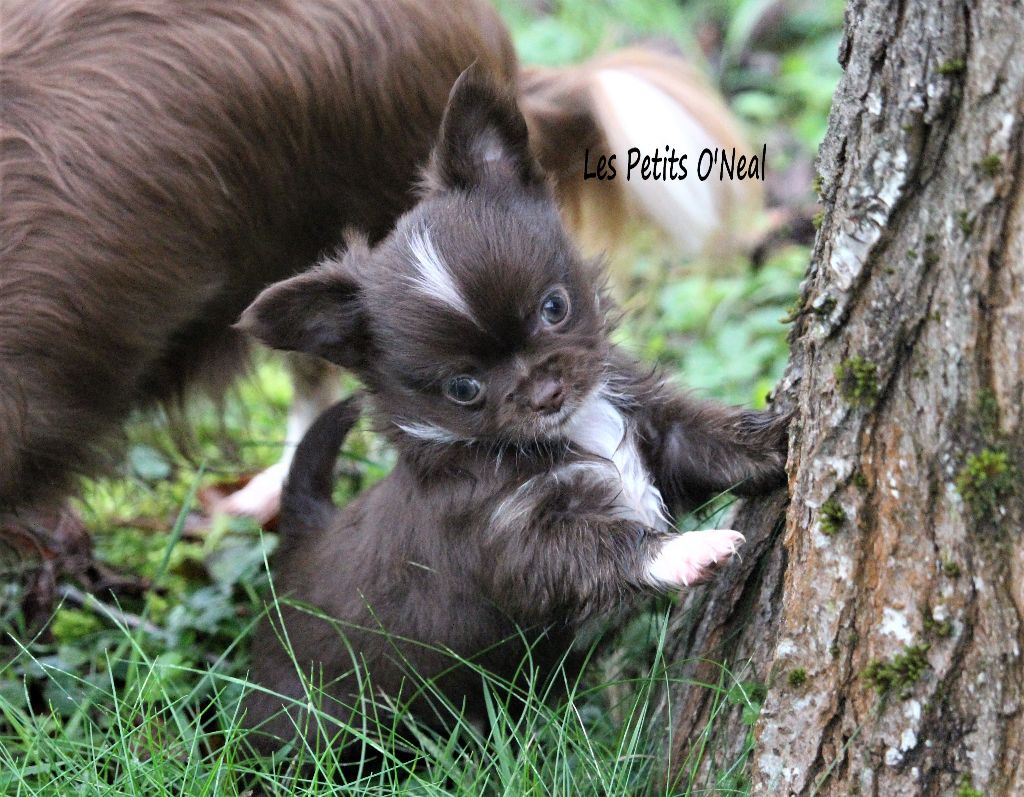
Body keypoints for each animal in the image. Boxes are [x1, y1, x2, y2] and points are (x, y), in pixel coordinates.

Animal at [237, 68, 787, 760]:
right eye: (463, 388)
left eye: (554, 308)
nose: (544, 389)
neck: (576, 431)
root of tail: (300, 542)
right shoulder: (517, 537)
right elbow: (601, 548)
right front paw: (684, 551)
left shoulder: (659, 430)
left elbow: (716, 442)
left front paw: (781, 439)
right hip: (311, 720)